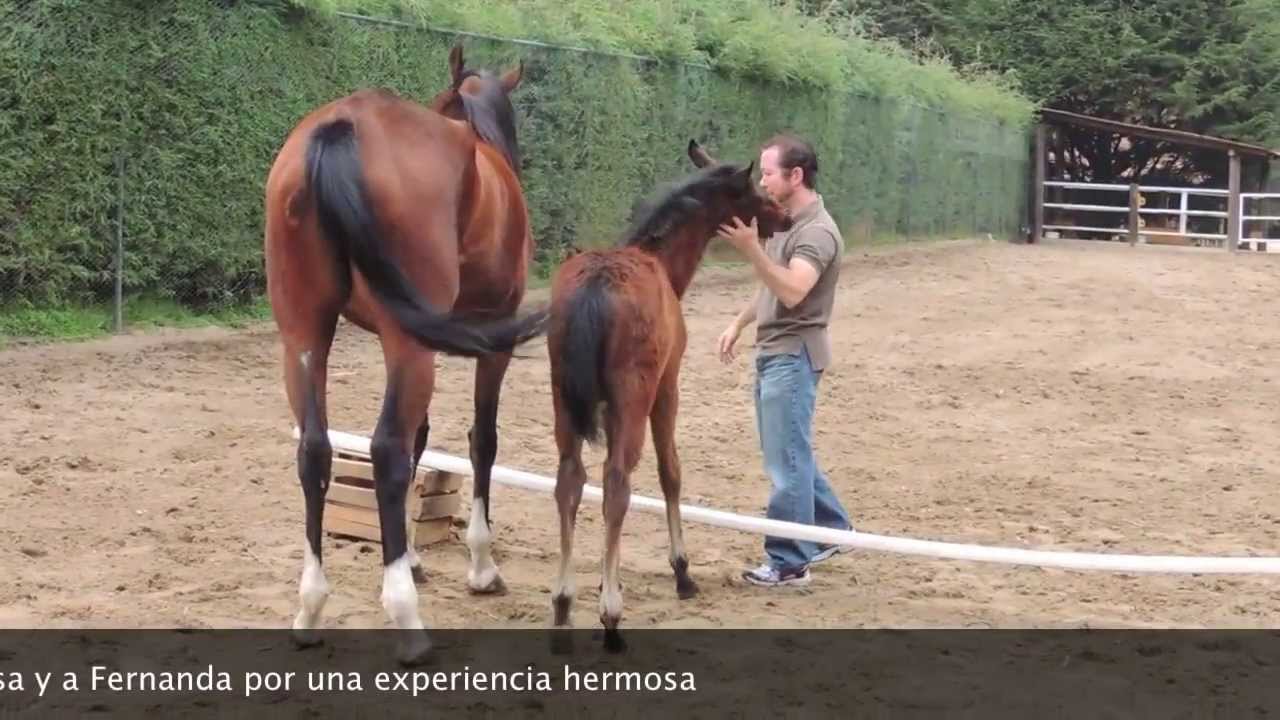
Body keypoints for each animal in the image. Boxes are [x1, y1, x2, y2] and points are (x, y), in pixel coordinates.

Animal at [262, 44, 545, 665]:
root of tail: (342, 125)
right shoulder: (490, 342)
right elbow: (481, 441)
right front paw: (480, 566)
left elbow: (424, 438)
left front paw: (413, 556)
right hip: (409, 344)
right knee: (386, 449)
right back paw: (407, 620)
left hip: (305, 334)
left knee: (315, 451)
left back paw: (310, 609)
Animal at [545, 139, 794, 648]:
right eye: (756, 191)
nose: (784, 217)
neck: (660, 263)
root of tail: (595, 288)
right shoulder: (666, 388)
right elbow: (670, 472)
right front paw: (681, 571)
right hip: (633, 396)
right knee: (616, 482)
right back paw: (611, 616)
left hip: (564, 398)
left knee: (570, 481)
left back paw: (562, 607)